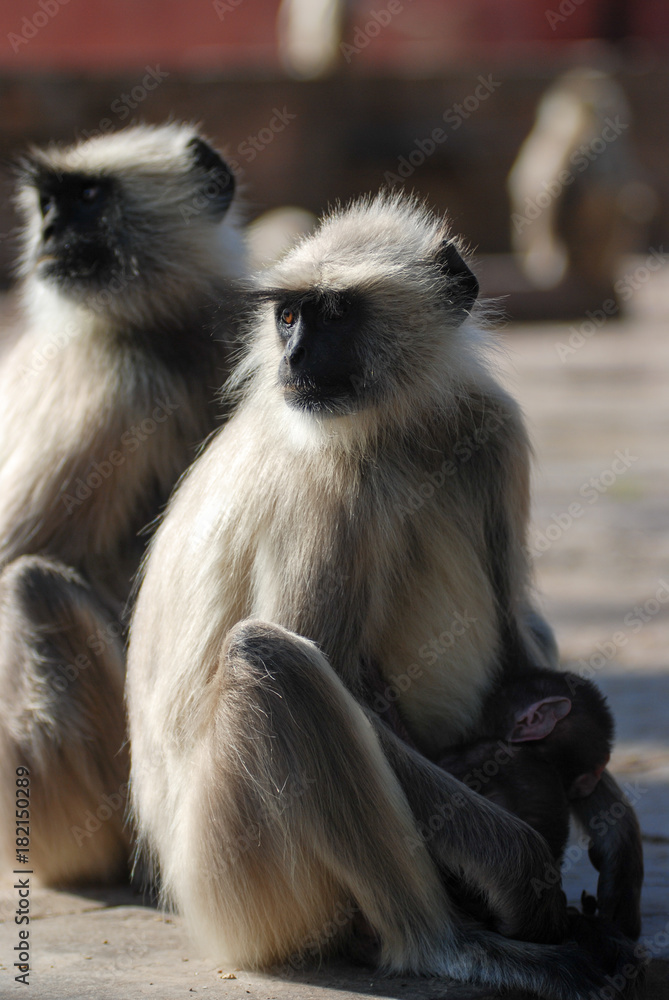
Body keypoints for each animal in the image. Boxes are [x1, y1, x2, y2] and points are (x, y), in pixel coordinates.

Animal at [0, 123, 245, 886]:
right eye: (48, 204)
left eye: (84, 199)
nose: (50, 229)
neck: (166, 335)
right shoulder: (108, 375)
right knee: (32, 585)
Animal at [126, 193, 644, 996]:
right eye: (288, 316)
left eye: (334, 314)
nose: (292, 358)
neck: (398, 424)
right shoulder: (325, 480)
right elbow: (338, 674)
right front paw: (524, 873)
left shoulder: (491, 424)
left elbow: (518, 629)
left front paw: (610, 818)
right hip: (237, 883)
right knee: (271, 661)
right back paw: (448, 946)